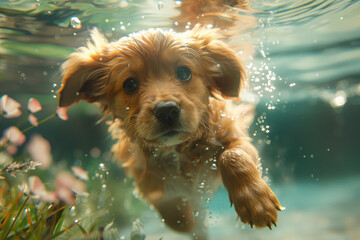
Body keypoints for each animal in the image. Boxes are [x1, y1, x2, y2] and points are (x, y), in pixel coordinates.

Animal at [58, 25, 282, 239]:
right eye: (129, 84)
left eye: (184, 72)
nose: (166, 110)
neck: (180, 148)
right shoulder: (145, 180)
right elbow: (177, 217)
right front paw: (194, 219)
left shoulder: (235, 137)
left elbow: (232, 155)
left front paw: (256, 202)